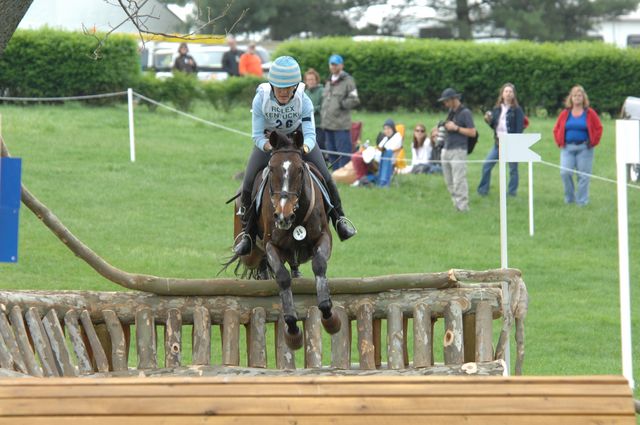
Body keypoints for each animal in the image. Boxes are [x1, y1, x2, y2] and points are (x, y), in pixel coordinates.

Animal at [228, 129, 342, 348]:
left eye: (300, 170)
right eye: (272, 170)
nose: (283, 216)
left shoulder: (324, 237)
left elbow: (319, 266)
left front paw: (329, 316)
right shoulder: (271, 246)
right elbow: (282, 277)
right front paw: (292, 329)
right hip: (250, 252)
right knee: (260, 263)